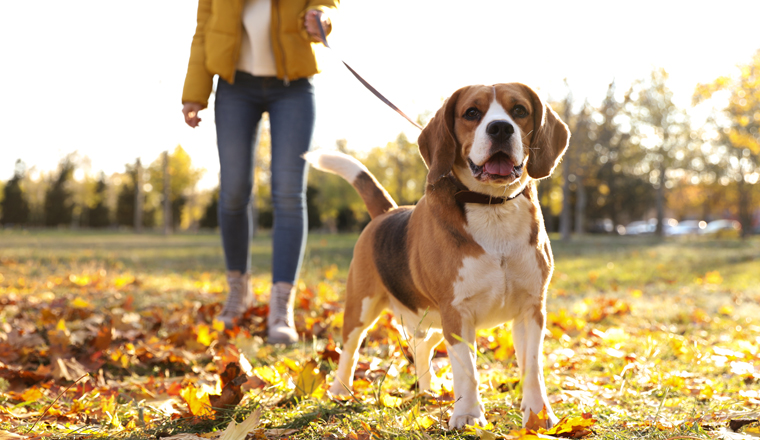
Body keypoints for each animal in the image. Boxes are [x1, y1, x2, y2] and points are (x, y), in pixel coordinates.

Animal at [302, 83, 568, 430]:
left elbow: (533, 368)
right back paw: (339, 390)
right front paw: (468, 415)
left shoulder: (531, 309)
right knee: (350, 349)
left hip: (432, 317)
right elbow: (467, 368)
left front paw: (538, 415)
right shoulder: (457, 312)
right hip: (362, 307)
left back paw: (427, 390)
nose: (500, 128)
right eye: (472, 113)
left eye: (520, 110)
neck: (492, 208)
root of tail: (387, 212)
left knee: (421, 345)